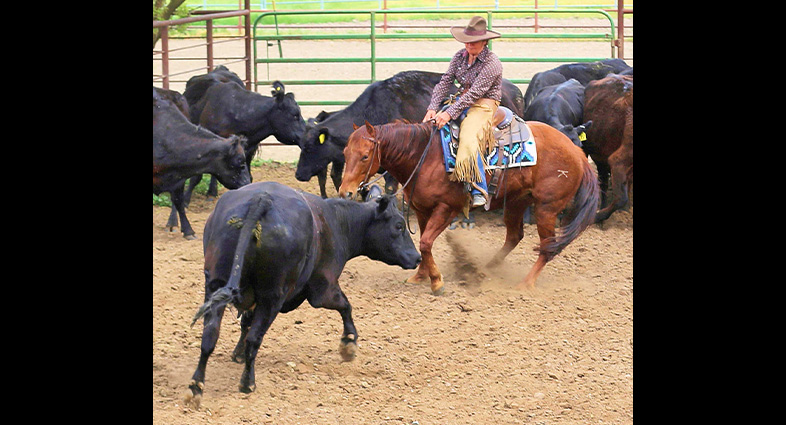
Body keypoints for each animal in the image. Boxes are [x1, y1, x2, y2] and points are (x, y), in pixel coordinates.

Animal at [187, 181, 420, 402]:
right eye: (399, 226)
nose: (417, 257)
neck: (336, 221)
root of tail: (261, 199)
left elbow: (246, 322)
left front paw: (237, 353)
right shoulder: (323, 287)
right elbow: (345, 306)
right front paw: (348, 343)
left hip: (215, 284)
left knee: (210, 334)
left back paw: (196, 386)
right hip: (273, 296)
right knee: (255, 338)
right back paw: (247, 383)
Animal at [338, 119, 600, 292]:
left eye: (364, 156)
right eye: (345, 152)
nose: (345, 192)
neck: (425, 156)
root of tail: (577, 153)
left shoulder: (446, 208)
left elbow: (425, 243)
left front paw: (436, 281)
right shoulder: (422, 209)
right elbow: (424, 243)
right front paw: (421, 275)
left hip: (546, 208)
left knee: (548, 247)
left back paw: (525, 283)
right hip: (517, 201)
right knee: (515, 236)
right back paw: (488, 267)